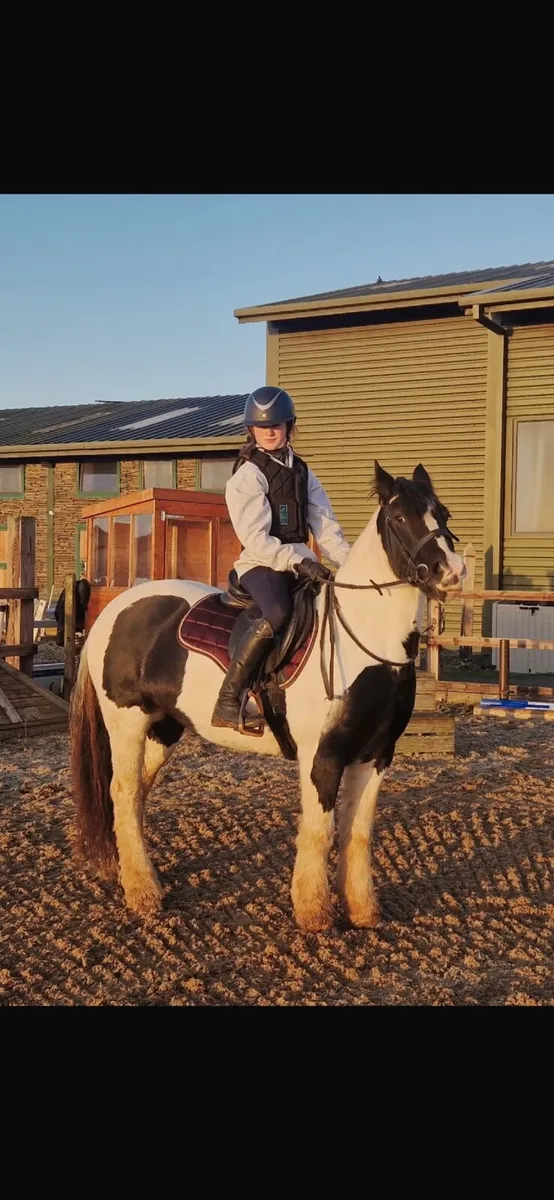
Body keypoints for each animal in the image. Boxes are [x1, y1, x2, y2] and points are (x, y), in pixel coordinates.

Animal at [69, 461, 466, 932]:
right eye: (400, 517)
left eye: (443, 513)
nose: (452, 571)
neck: (366, 640)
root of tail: (115, 609)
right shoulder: (322, 756)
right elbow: (319, 831)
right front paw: (314, 913)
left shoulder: (375, 755)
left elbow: (358, 831)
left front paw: (362, 910)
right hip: (126, 722)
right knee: (124, 791)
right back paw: (144, 894)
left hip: (163, 728)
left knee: (132, 795)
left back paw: (131, 872)